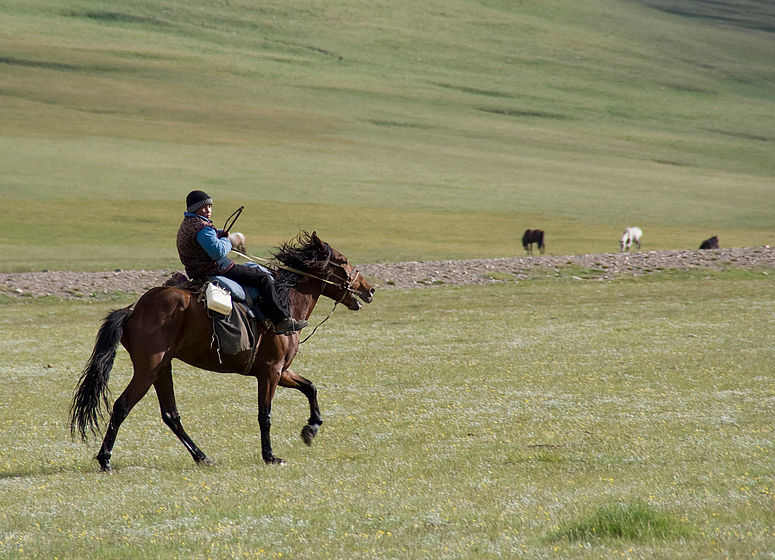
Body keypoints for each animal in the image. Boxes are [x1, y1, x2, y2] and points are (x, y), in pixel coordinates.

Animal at [70, 230, 376, 470]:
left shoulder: (281, 371)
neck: (285, 302)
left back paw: (202, 457)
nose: (370, 289)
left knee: (171, 415)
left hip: (162, 369)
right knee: (122, 406)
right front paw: (270, 456)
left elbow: (310, 387)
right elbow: (265, 415)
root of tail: (134, 309)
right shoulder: (271, 372)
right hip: (148, 370)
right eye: (343, 261)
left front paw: (311, 429)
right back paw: (105, 459)